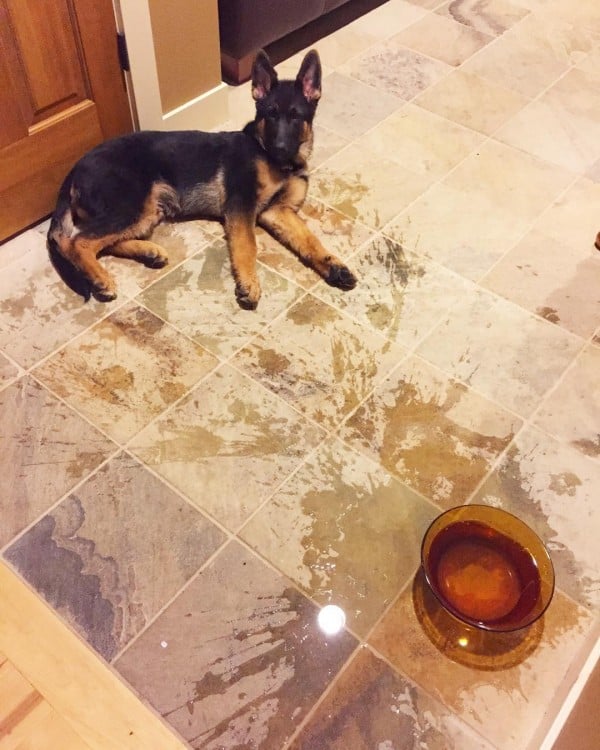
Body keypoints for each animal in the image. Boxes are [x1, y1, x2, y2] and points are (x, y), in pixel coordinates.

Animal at [48, 49, 356, 308]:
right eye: (270, 115)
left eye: (295, 117)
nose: (280, 148)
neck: (277, 161)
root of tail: (76, 167)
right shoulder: (241, 205)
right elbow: (248, 245)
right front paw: (249, 283)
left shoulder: (279, 211)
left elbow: (310, 241)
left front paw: (334, 266)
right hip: (132, 205)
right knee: (77, 242)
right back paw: (100, 278)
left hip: (146, 211)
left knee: (101, 240)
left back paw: (148, 252)